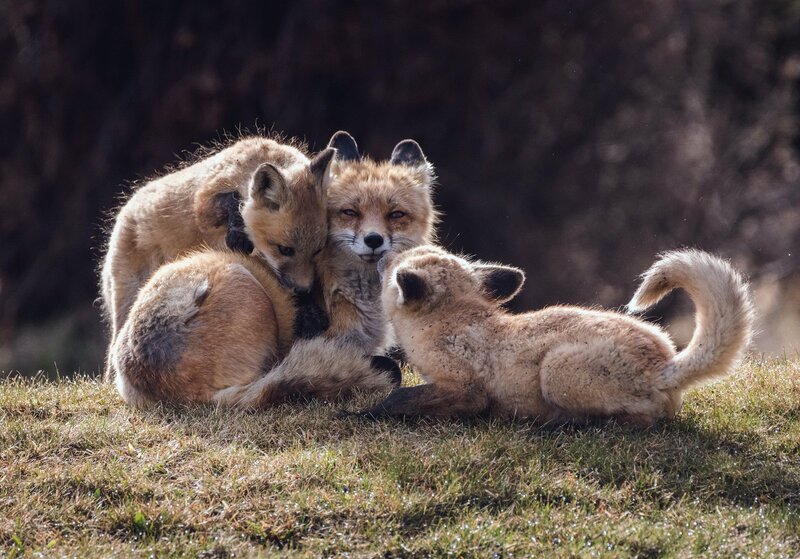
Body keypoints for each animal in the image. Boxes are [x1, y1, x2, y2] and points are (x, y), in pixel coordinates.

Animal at [100, 136, 333, 380]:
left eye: (317, 250)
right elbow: (226, 203)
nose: (304, 289)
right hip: (127, 296)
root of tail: (125, 209)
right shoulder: (203, 203)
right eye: (284, 249)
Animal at [361, 245, 754, 426]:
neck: (451, 323)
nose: (378, 250)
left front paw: (364, 414)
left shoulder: (465, 390)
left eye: (394, 266)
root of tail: (666, 366)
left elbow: (399, 398)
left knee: (634, 420)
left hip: (555, 370)